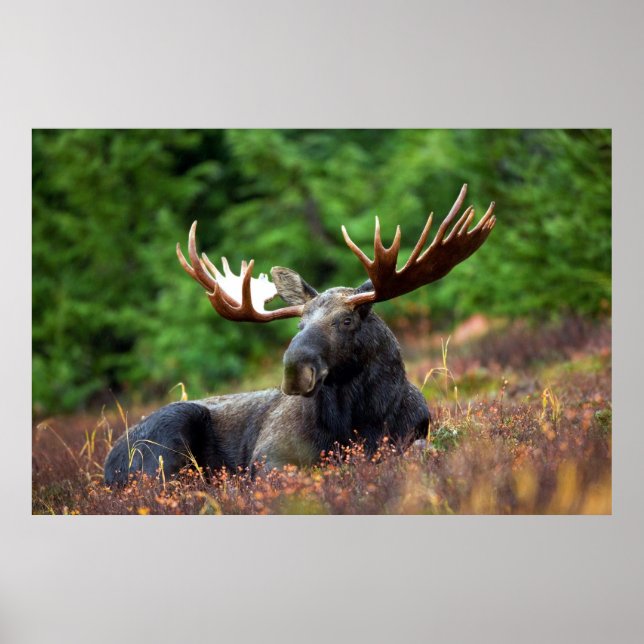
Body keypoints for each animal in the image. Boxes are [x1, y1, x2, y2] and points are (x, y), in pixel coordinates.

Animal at [103, 184, 496, 486]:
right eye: (299, 325)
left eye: (346, 321)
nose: (295, 370)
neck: (361, 420)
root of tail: (107, 464)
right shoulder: (269, 455)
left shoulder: (413, 435)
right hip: (166, 439)